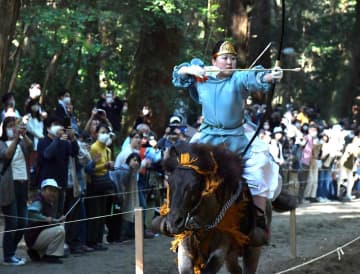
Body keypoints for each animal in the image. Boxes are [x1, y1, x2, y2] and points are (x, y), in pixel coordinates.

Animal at [153, 143, 272, 274]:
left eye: (195, 185)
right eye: (169, 182)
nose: (173, 223)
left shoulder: (221, 250)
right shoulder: (185, 248)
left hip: (252, 250)